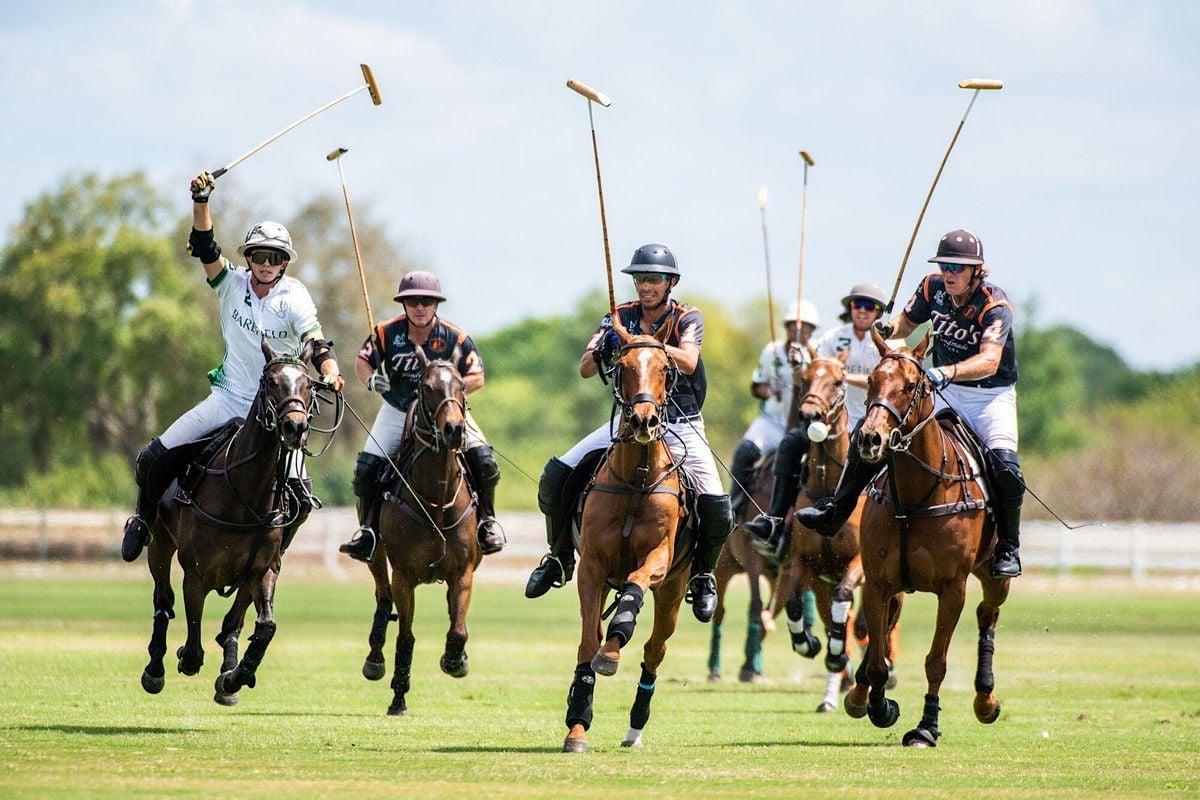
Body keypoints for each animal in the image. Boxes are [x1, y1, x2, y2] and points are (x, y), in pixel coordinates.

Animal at [141, 340, 319, 705]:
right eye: (270, 382)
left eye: (309, 385)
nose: (295, 428)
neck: (245, 494)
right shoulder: (197, 571)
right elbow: (192, 639)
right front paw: (185, 658)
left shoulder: (263, 569)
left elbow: (264, 626)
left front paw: (236, 676)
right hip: (160, 545)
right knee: (162, 601)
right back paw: (154, 669)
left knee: (233, 620)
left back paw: (229, 670)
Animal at [364, 359, 477, 714]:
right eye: (426, 388)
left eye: (461, 385)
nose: (454, 429)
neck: (437, 499)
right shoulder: (403, 576)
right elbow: (406, 638)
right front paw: (398, 697)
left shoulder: (463, 573)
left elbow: (458, 629)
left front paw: (454, 660)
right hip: (376, 554)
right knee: (382, 596)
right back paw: (374, 659)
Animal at [564, 323, 691, 753]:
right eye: (622, 366)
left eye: (666, 369)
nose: (643, 422)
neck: (637, 477)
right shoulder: (591, 567)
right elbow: (587, 644)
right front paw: (577, 727)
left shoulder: (659, 559)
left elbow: (635, 588)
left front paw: (616, 646)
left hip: (674, 589)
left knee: (655, 649)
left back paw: (635, 728)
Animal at [768, 350, 902, 714]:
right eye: (806, 378)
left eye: (839, 381)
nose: (809, 415)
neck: (830, 488)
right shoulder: (804, 563)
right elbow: (795, 604)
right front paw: (809, 643)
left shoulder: (859, 563)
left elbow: (847, 601)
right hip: (821, 582)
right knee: (837, 621)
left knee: (880, 620)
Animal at [844, 331, 1012, 743]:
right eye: (870, 380)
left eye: (910, 386)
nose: (870, 439)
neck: (915, 495)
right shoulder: (878, 581)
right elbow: (877, 660)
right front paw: (878, 706)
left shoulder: (953, 588)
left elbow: (936, 662)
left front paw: (926, 727)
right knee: (885, 630)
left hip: (993, 573)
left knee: (988, 613)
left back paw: (986, 699)